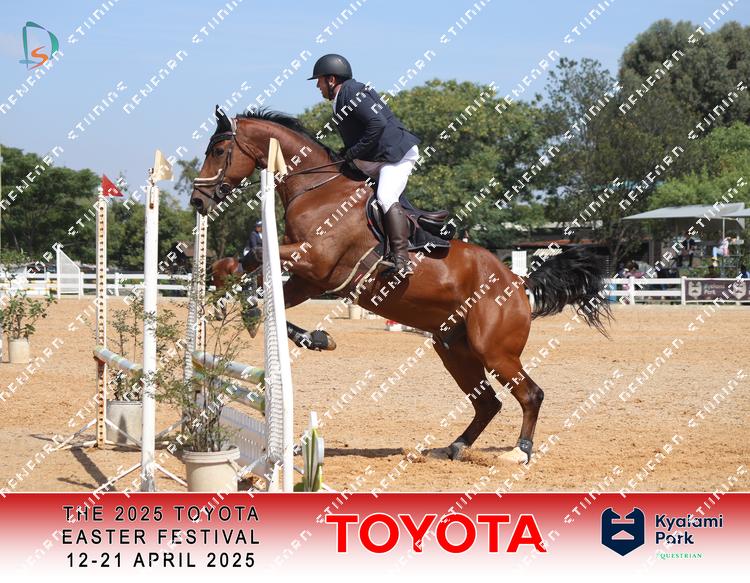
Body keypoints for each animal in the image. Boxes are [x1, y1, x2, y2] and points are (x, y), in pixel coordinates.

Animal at [191, 106, 610, 464]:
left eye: (219, 150)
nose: (197, 200)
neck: (317, 189)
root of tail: (519, 283)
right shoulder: (312, 279)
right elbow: (243, 270)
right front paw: (312, 336)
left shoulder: (316, 261)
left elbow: (253, 259)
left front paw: (245, 307)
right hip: (453, 348)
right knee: (487, 402)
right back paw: (454, 447)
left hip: (494, 351)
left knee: (530, 394)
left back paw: (518, 453)